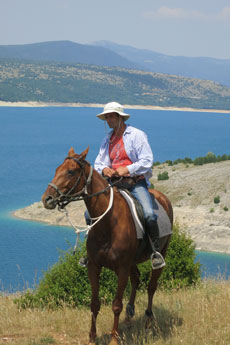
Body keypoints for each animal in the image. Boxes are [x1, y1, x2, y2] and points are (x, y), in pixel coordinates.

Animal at [41, 146, 172, 344]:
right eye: (57, 169)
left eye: (70, 171)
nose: (47, 199)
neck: (109, 222)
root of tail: (163, 198)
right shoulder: (94, 266)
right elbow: (94, 304)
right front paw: (92, 338)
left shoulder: (122, 268)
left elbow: (116, 305)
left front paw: (113, 338)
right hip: (132, 263)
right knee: (136, 279)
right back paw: (129, 317)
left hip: (159, 254)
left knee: (151, 286)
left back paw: (148, 321)